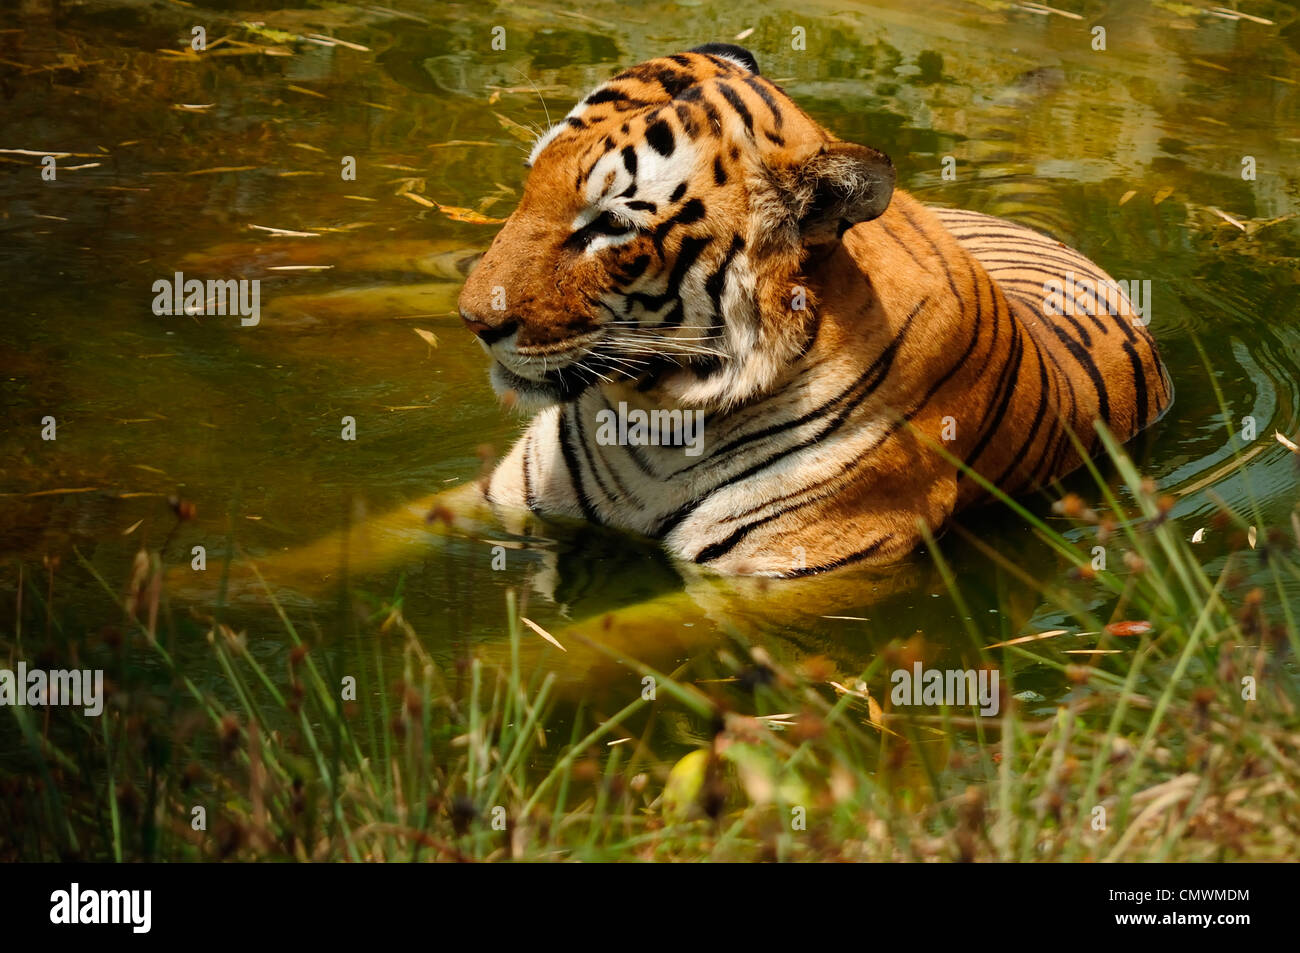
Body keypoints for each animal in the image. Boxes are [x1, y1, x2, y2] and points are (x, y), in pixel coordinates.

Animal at [452, 42, 1175, 579]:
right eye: (530, 180)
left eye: (610, 225)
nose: (471, 320)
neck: (656, 416)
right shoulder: (502, 493)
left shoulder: (792, 561)